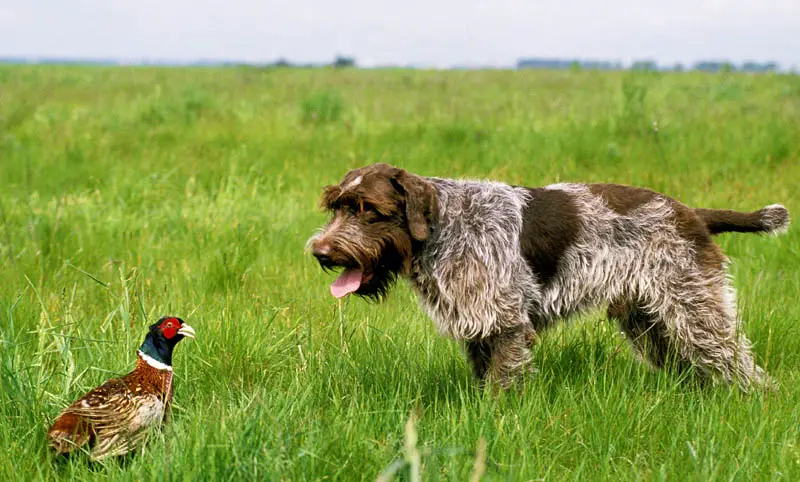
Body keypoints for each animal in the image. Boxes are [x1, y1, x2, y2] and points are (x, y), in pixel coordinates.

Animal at [306, 164, 788, 390]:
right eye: (336, 206)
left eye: (369, 209)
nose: (321, 252)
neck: (445, 227)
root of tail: (692, 213)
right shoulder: (480, 327)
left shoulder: (505, 324)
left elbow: (500, 385)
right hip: (648, 319)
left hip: (695, 310)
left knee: (740, 364)